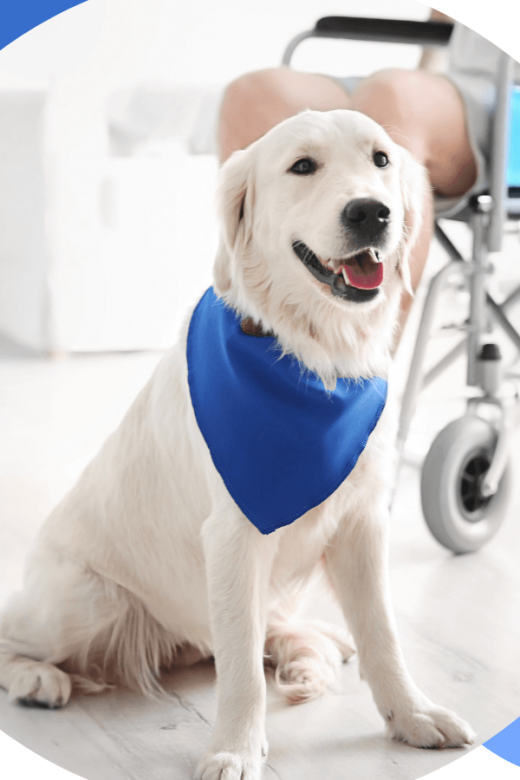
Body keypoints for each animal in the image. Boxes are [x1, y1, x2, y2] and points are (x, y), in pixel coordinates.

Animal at [0, 109, 476, 780]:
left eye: (381, 160)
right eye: (302, 166)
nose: (371, 212)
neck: (312, 360)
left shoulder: (362, 522)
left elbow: (384, 633)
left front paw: (412, 716)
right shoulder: (233, 536)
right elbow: (242, 667)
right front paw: (236, 749)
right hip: (84, 600)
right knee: (14, 634)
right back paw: (37, 679)